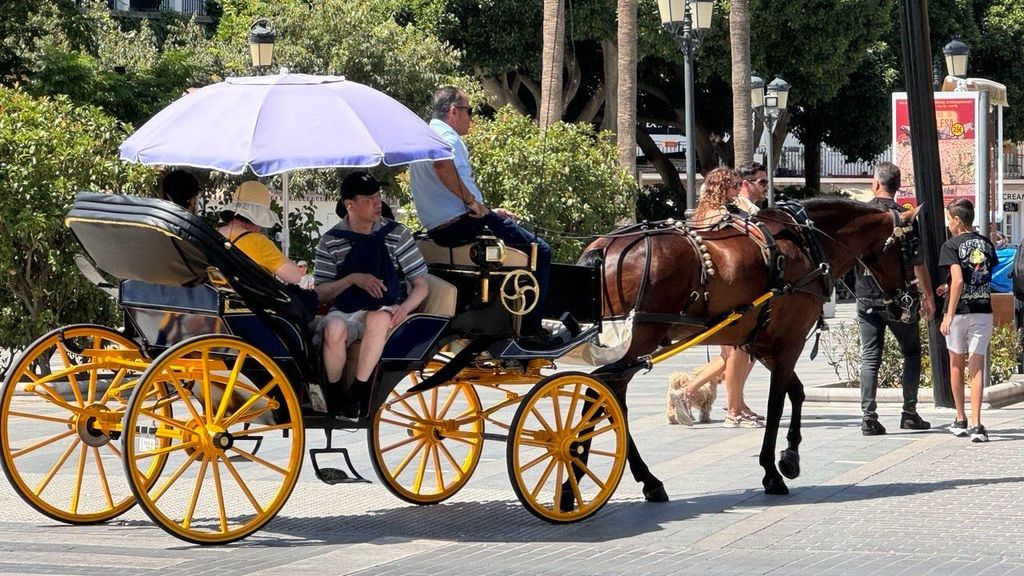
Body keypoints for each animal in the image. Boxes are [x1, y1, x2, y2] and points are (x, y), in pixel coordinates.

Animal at [581, 196, 925, 498]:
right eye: (912, 250)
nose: (913, 302)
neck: (806, 243)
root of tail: (605, 247)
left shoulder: (764, 344)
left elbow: (797, 393)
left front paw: (790, 456)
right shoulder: (789, 342)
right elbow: (777, 404)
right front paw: (772, 472)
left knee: (604, 395)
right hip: (637, 341)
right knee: (601, 393)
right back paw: (616, 470)